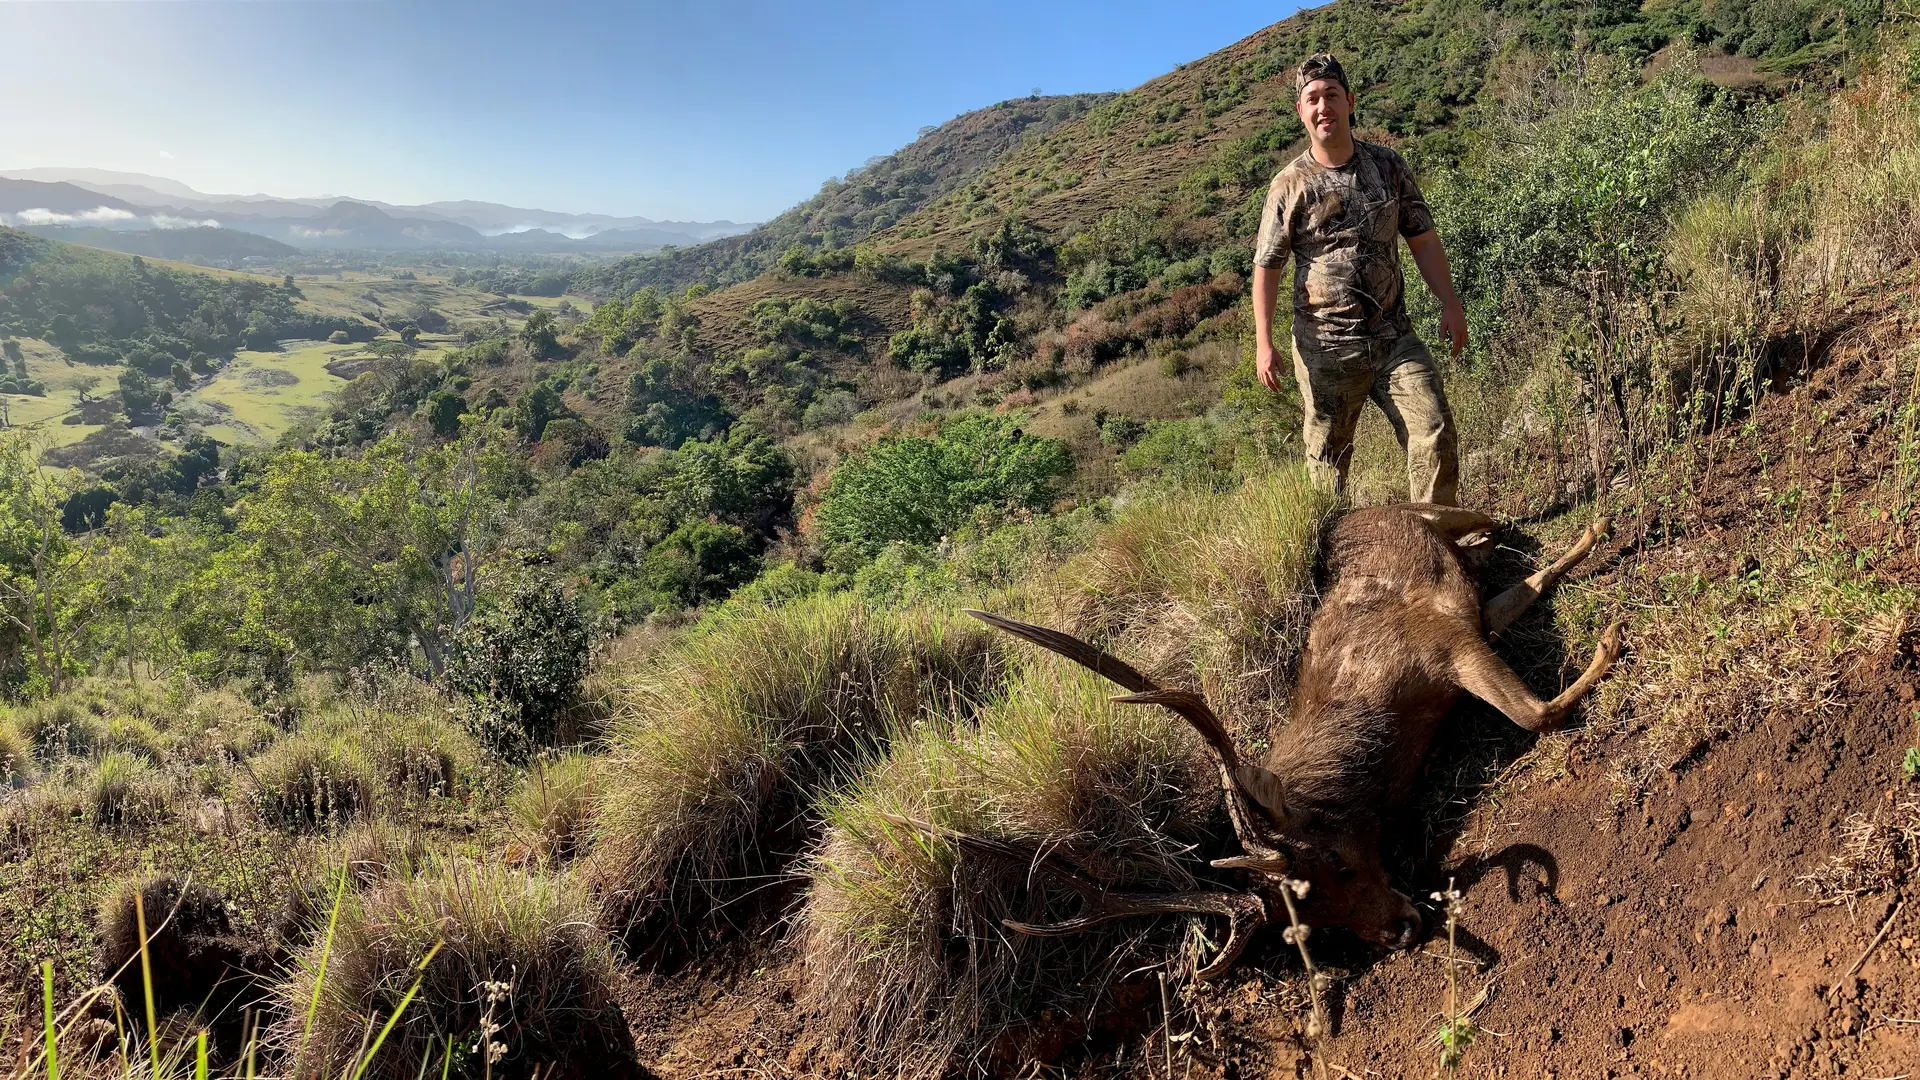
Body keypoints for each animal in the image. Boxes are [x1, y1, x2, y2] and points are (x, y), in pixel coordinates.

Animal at [944, 499, 1620, 972]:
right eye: (1313, 919)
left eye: (1340, 862)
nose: (1400, 930)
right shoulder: (1466, 631)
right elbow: (1528, 635)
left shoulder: (1444, 642)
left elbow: (1535, 714)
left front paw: (1611, 639)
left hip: (1428, 511)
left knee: (1488, 513)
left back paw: (1588, 526)